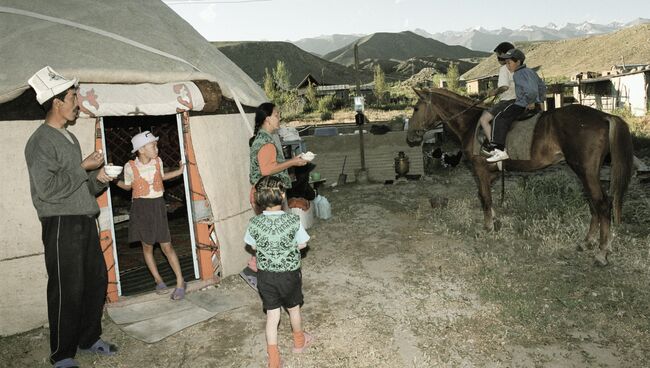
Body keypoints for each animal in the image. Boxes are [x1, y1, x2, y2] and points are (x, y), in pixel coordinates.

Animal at [408, 87, 632, 266]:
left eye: (416, 109)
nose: (410, 136)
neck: (471, 124)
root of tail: (604, 116)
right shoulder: (491, 174)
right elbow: (488, 198)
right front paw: (495, 222)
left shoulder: (480, 170)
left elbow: (484, 198)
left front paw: (487, 227)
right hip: (584, 173)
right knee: (593, 204)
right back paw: (587, 242)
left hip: (585, 171)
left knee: (602, 204)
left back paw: (602, 252)